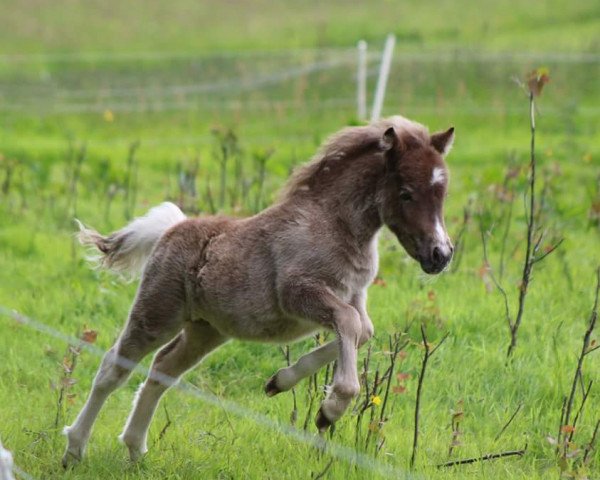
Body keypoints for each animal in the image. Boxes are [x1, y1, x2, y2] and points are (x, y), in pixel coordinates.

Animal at [62, 115, 454, 464]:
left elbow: (362, 331)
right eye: (406, 193)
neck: (333, 225)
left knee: (162, 370)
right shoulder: (299, 294)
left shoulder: (353, 297)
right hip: (157, 313)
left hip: (206, 330)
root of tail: (172, 228)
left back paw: (134, 449)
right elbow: (350, 326)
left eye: (442, 192)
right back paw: (74, 449)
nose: (441, 254)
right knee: (113, 368)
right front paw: (330, 410)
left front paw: (279, 382)